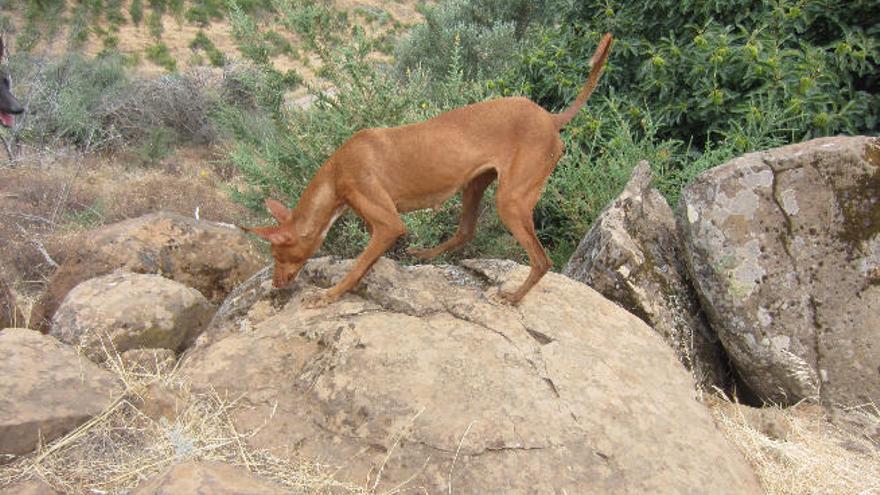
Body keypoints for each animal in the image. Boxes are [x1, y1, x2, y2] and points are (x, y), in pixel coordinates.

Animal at [241, 33, 612, 308]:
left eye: (276, 254)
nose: (275, 285)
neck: (335, 173)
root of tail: (550, 118)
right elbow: (366, 261)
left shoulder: (389, 224)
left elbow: (358, 265)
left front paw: (329, 295)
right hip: (475, 185)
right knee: (466, 232)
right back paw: (424, 254)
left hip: (511, 200)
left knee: (541, 260)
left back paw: (513, 297)